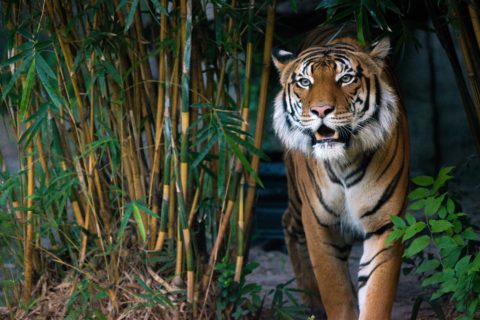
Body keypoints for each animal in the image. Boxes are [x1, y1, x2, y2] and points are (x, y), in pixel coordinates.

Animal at [272, 25, 410, 320]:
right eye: (304, 82)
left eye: (346, 78)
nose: (321, 110)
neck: (343, 161)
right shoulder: (319, 222)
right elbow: (335, 292)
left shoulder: (386, 223)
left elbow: (376, 293)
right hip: (297, 201)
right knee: (288, 222)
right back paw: (311, 301)